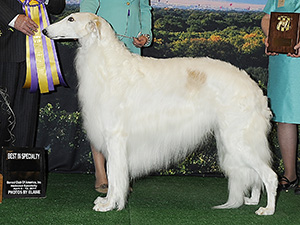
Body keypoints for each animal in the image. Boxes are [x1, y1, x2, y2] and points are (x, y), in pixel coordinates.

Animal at [43, 12, 278, 216]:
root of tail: (256, 89)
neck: (108, 63)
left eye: (71, 19)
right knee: (256, 175)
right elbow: (112, 174)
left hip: (238, 139)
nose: (44, 30)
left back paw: (268, 209)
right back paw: (253, 200)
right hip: (232, 139)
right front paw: (107, 200)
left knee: (270, 175)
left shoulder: (115, 138)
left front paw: (110, 204)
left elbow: (114, 175)